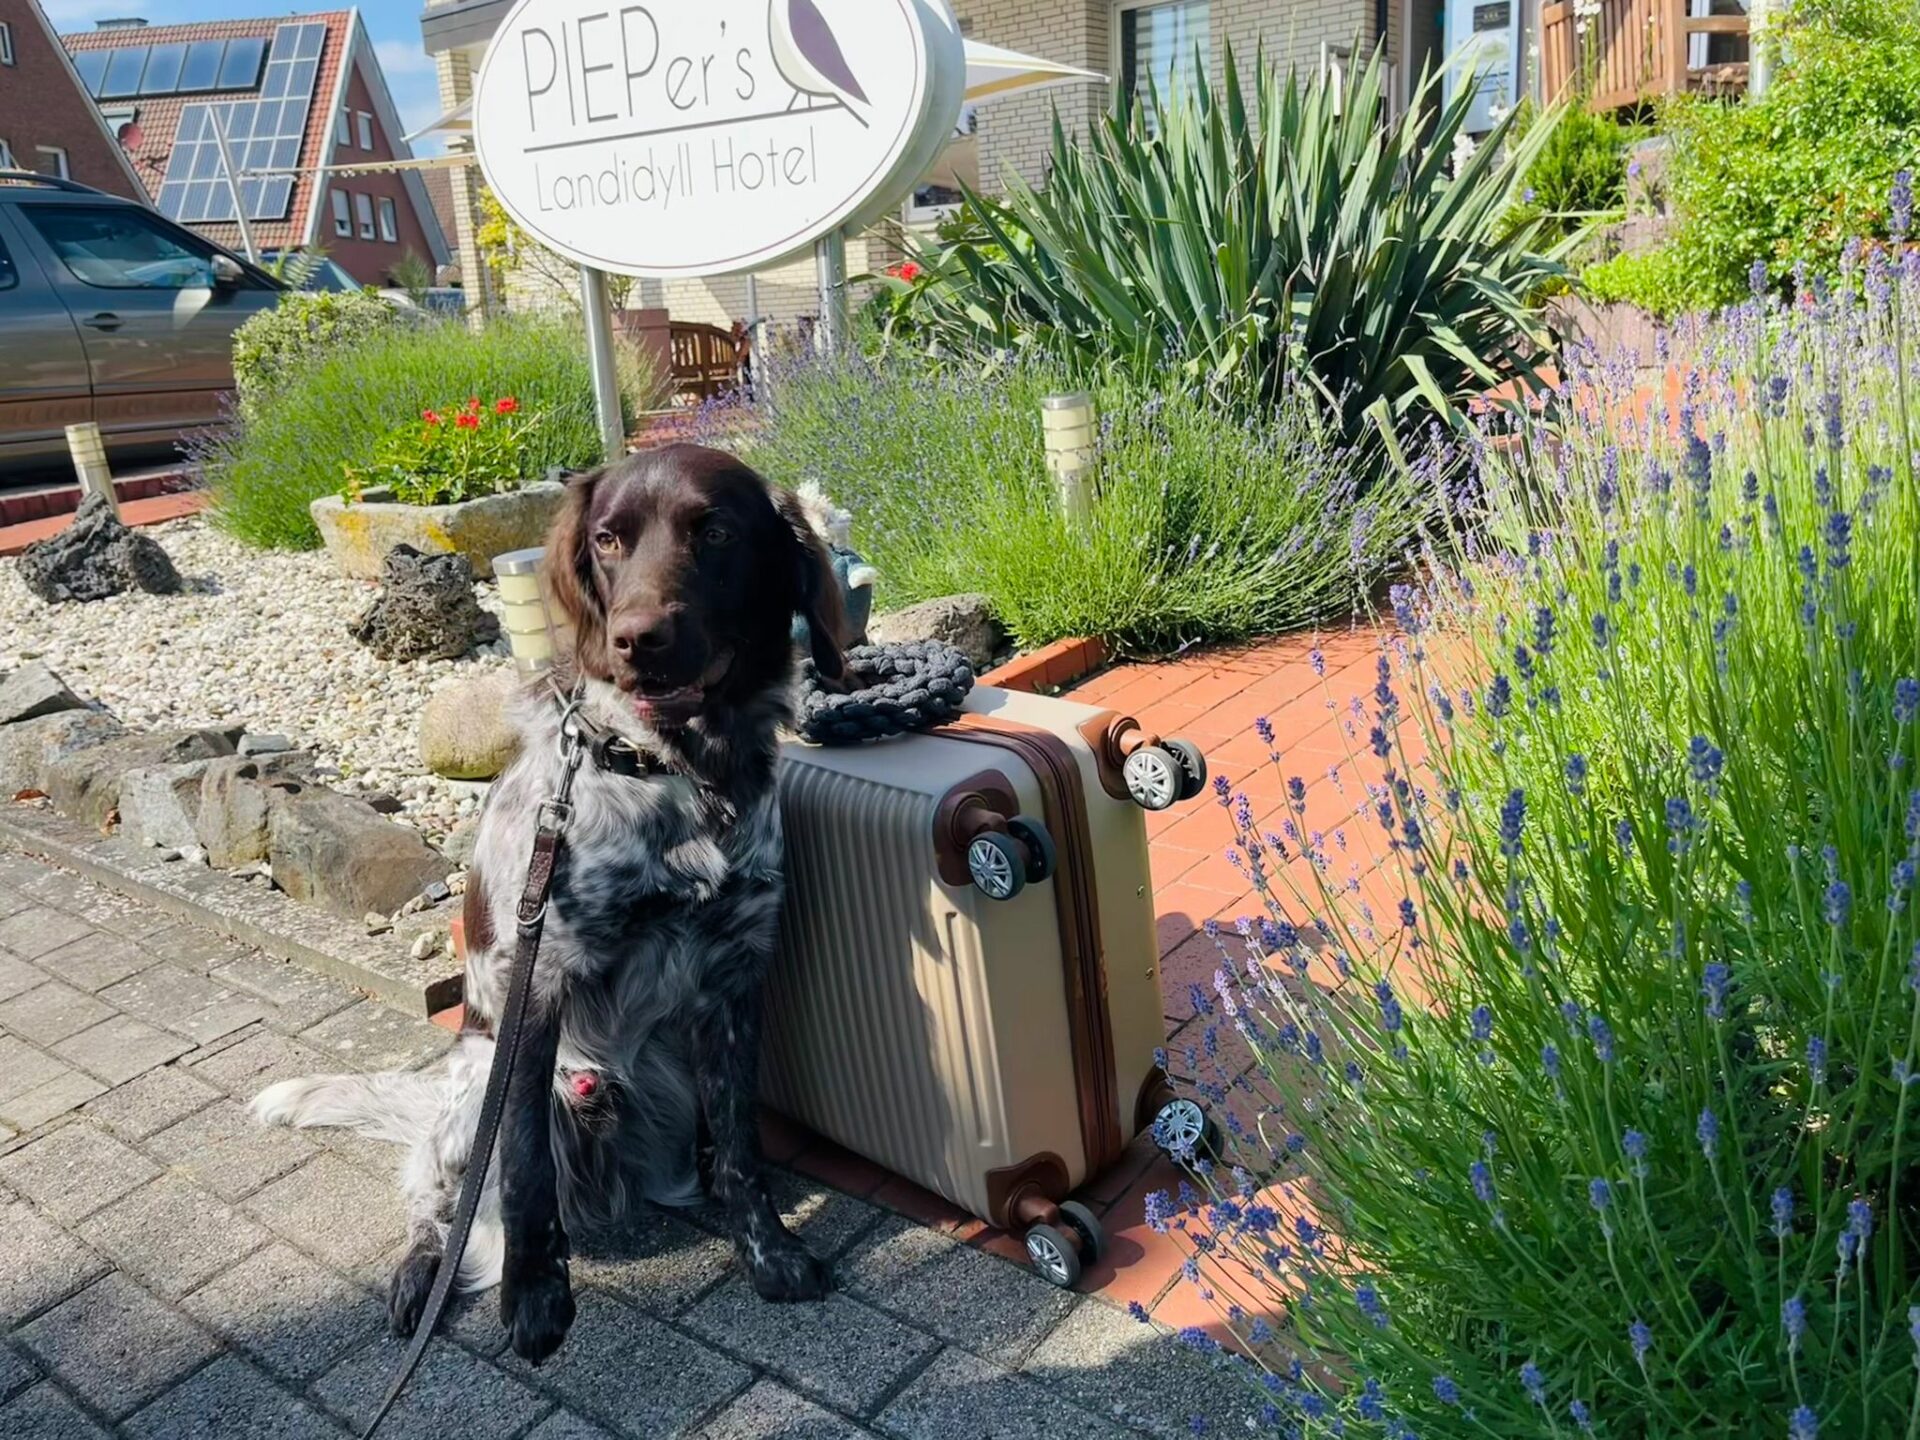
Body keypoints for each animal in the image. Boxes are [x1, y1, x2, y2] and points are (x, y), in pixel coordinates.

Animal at [253, 449, 848, 1367]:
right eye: (608, 539)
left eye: (715, 531)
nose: (638, 638)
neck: (677, 771)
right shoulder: (541, 978)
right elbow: (526, 1166)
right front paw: (534, 1297)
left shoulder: (737, 970)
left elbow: (742, 1146)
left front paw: (769, 1251)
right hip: (478, 1091)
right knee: (439, 1200)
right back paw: (420, 1274)